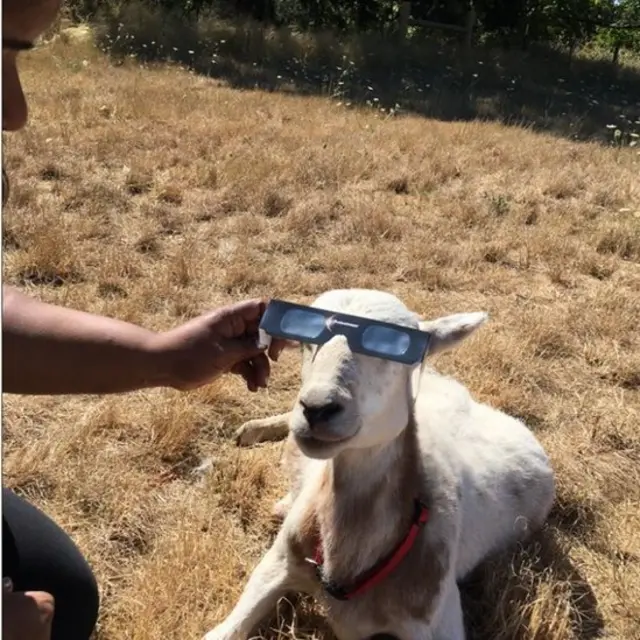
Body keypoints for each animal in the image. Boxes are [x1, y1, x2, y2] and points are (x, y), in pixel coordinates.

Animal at [202, 288, 555, 640]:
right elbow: (222, 633)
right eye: (305, 342)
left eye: (397, 351)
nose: (316, 408)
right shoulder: (277, 563)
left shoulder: (438, 619)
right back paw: (253, 433)